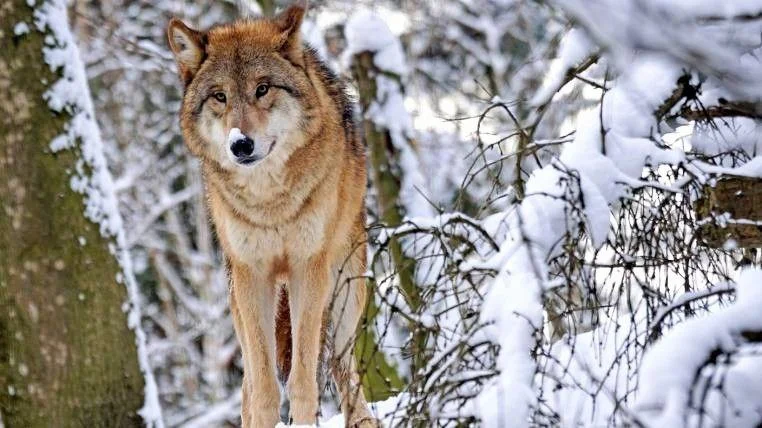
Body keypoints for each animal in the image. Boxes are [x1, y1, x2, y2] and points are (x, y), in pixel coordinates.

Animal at [167, 4, 376, 426]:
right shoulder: (253, 275)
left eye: (262, 89)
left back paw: (364, 419)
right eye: (220, 96)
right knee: (248, 384)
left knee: (342, 366)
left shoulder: (308, 268)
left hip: (347, 290)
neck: (270, 203)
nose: (240, 145)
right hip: (238, 303)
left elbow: (302, 379)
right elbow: (263, 387)